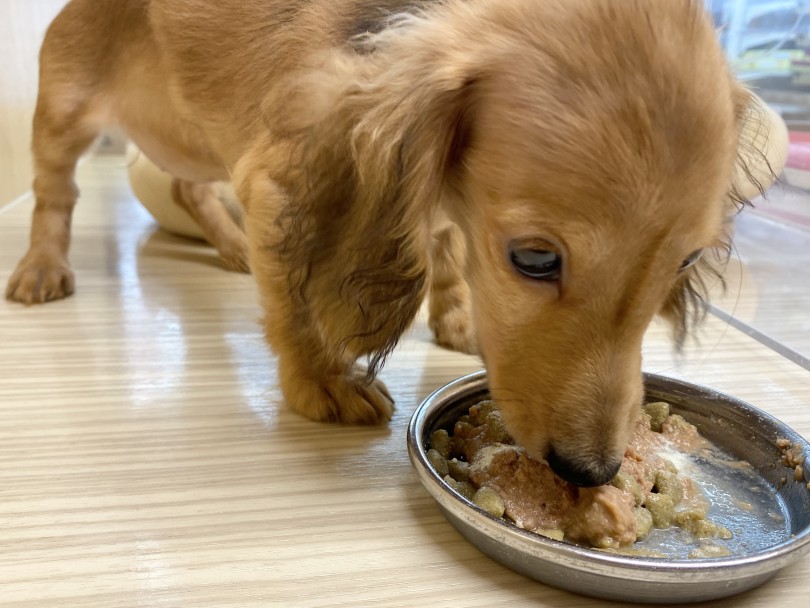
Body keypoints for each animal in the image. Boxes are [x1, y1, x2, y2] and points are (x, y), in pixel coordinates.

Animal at [6, 0, 756, 484]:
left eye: (686, 259)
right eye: (535, 259)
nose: (592, 472)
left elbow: (446, 253)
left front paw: (456, 318)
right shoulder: (278, 176)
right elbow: (297, 302)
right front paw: (321, 381)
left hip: (191, 140)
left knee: (189, 190)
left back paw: (231, 246)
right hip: (66, 113)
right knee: (56, 195)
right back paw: (42, 266)